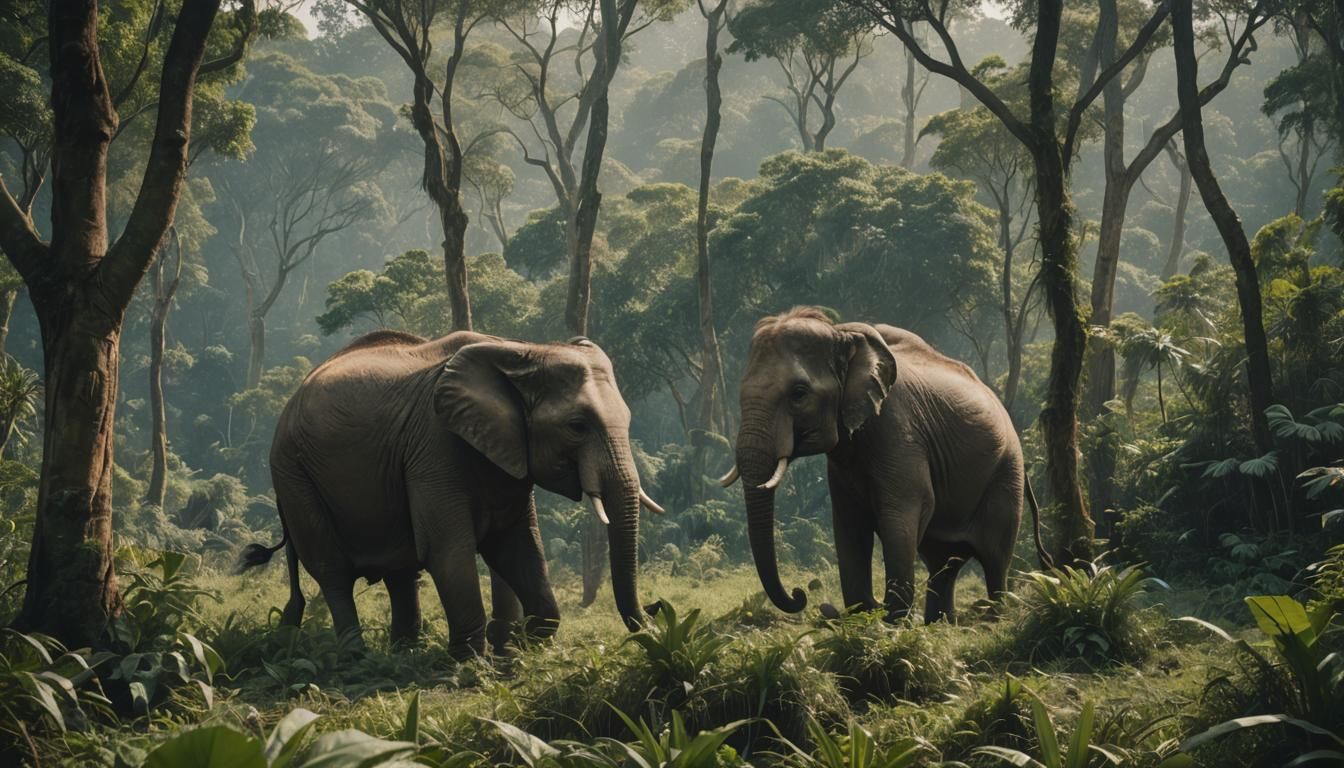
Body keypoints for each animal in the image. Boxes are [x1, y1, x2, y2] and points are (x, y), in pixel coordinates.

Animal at [237, 330, 664, 658]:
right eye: (577, 426)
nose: (658, 609)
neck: (521, 349)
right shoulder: (434, 445)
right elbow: (447, 548)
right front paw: (473, 664)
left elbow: (517, 545)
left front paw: (523, 644)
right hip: (293, 475)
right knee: (333, 570)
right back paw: (357, 658)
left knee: (399, 570)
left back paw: (404, 654)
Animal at [718, 308, 1049, 624]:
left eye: (799, 393)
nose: (802, 594)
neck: (841, 335)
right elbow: (850, 523)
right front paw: (863, 617)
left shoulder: (897, 429)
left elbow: (904, 510)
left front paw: (890, 623)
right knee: (942, 560)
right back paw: (939, 623)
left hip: (1007, 471)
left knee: (994, 555)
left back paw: (991, 619)